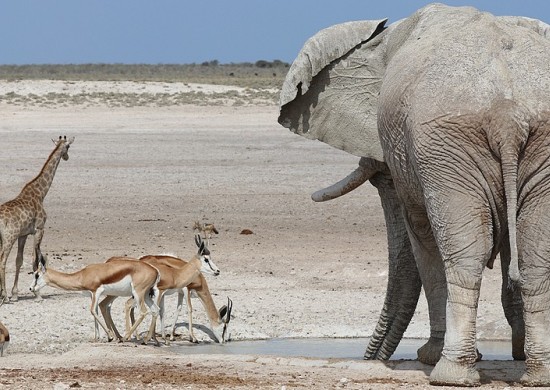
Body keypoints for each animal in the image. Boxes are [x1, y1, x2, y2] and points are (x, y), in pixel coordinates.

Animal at [0, 136, 74, 304]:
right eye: (68, 147)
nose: (67, 157)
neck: (41, 194)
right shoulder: (39, 230)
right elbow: (35, 259)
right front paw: (37, 295)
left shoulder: (23, 235)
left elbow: (19, 260)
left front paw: (15, 294)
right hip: (8, 237)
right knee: (2, 261)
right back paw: (4, 297)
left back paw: (4, 294)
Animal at [280, 3, 550, 386]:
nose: (370, 358)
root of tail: (507, 114)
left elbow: (422, 235)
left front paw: (429, 356)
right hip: (517, 140)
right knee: (534, 257)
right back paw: (538, 374)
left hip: (447, 144)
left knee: (462, 254)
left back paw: (450, 373)